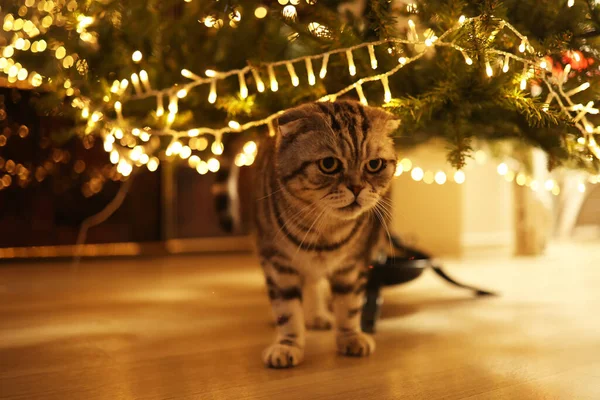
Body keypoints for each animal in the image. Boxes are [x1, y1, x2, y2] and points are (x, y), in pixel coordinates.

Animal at [253, 98, 398, 368]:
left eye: (374, 165)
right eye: (329, 164)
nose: (357, 188)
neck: (324, 231)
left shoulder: (353, 266)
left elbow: (349, 305)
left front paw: (350, 338)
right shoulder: (278, 264)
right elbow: (287, 311)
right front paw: (287, 345)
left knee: (313, 283)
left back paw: (318, 315)